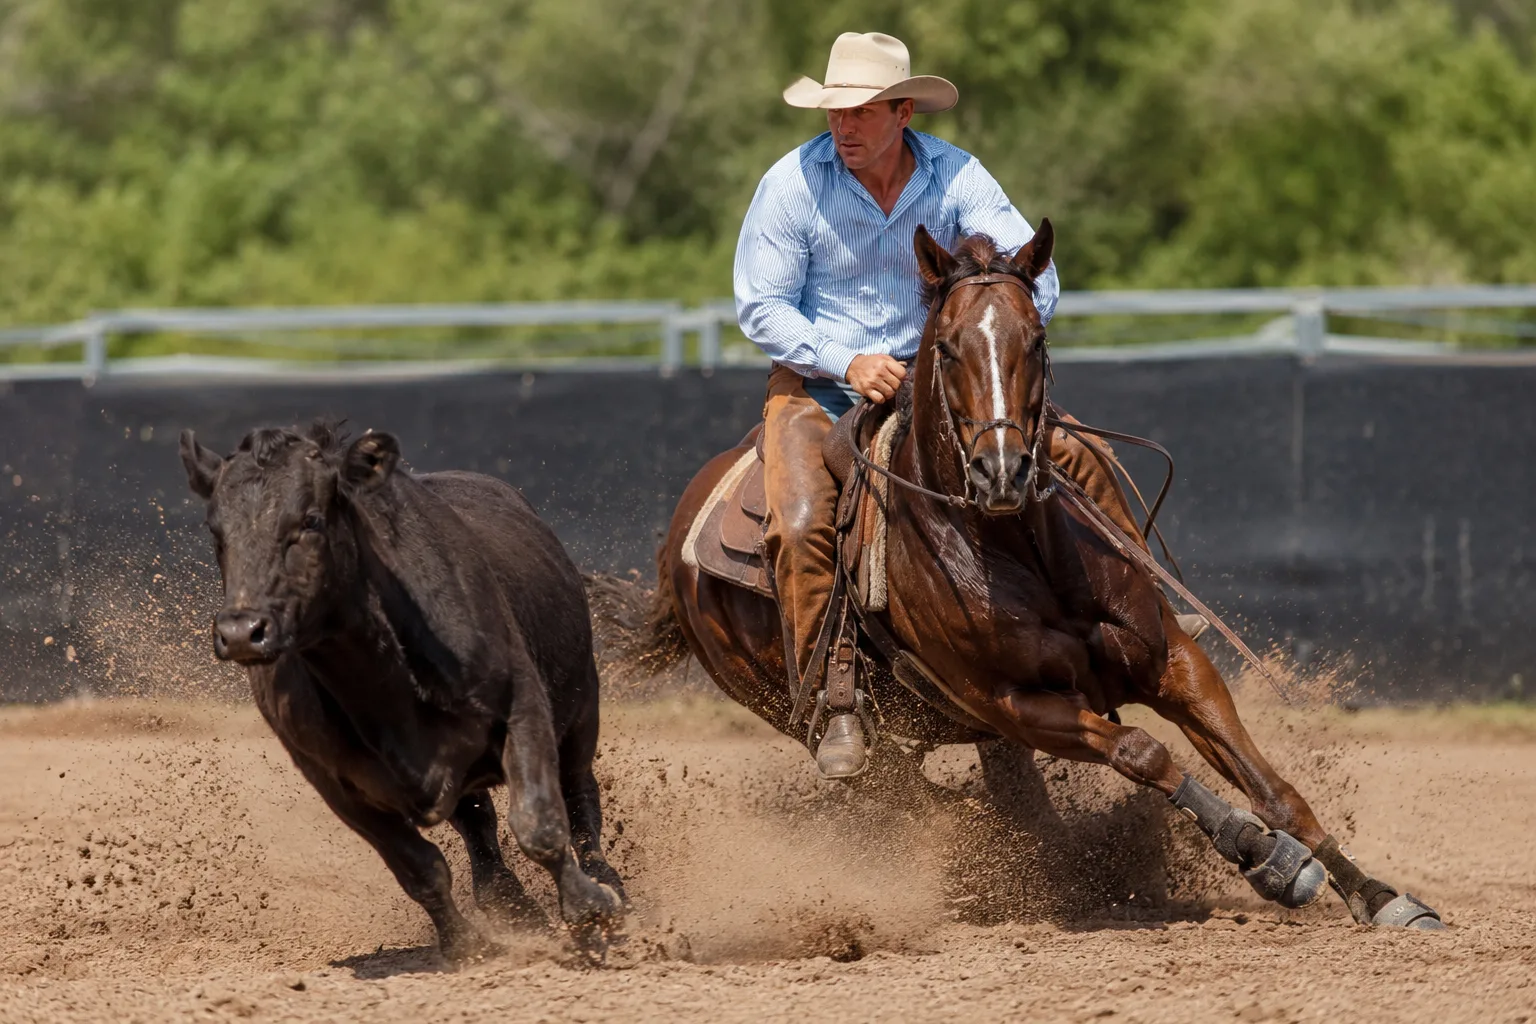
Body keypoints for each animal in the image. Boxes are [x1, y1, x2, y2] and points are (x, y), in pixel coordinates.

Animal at [641, 223, 1443, 929]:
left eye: (1036, 338)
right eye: (949, 347)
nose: (1002, 471)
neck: (1016, 543)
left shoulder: (1173, 663)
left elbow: (1274, 788)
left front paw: (1378, 896)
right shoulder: (1013, 704)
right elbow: (1146, 753)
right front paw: (1262, 855)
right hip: (828, 720)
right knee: (923, 801)